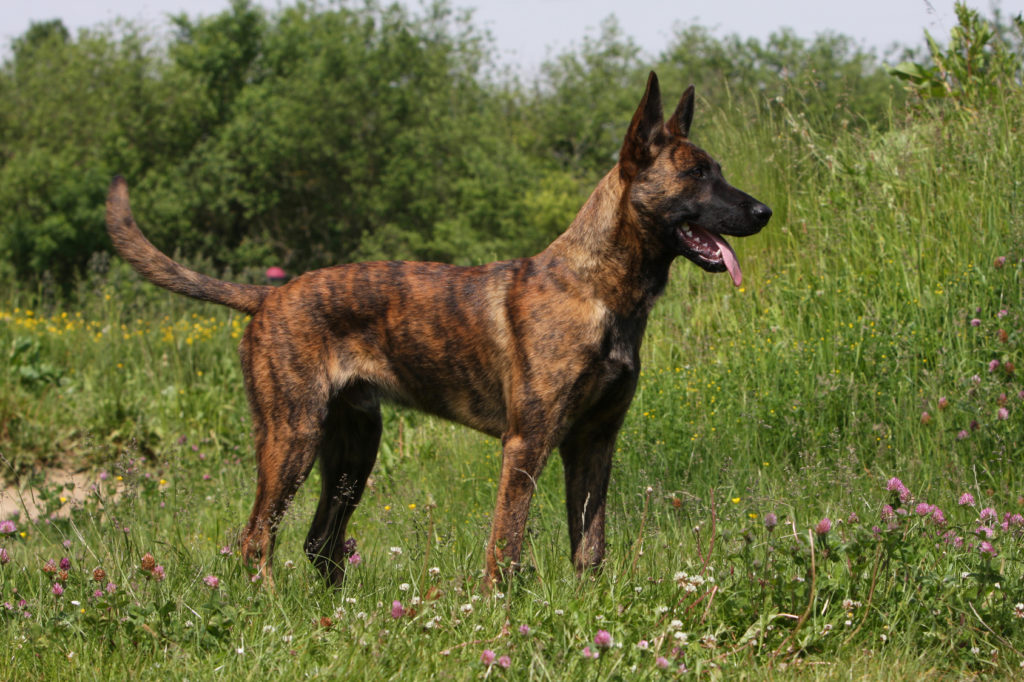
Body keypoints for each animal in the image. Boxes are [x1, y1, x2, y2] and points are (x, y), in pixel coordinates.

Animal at [108, 71, 770, 585]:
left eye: (718, 170)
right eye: (696, 174)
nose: (764, 211)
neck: (601, 289)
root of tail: (270, 295)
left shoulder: (594, 442)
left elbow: (590, 546)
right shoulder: (527, 444)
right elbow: (506, 546)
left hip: (353, 449)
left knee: (320, 544)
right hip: (292, 437)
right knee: (257, 540)